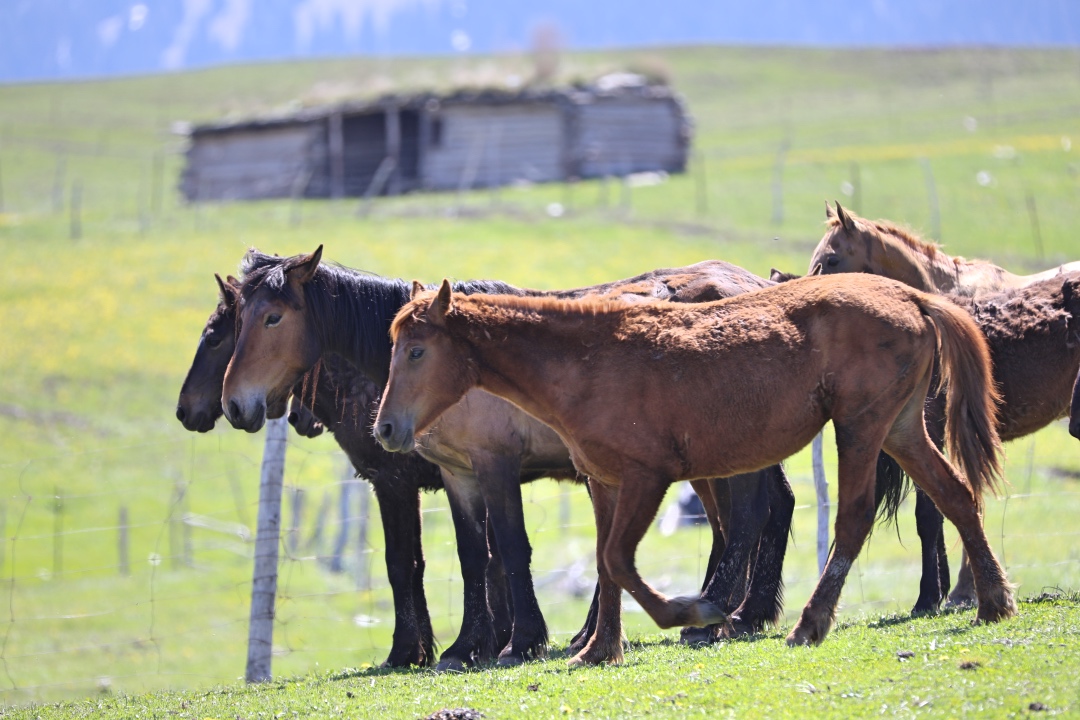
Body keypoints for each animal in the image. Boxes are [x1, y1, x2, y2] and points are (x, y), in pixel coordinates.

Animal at [225, 250, 803, 669]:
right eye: (235, 322)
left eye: (272, 317)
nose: (235, 404)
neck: (471, 365)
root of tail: (756, 284)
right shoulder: (458, 475)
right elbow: (473, 556)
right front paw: (466, 647)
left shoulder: (494, 464)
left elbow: (507, 547)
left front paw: (519, 641)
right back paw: (731, 612)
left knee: (751, 514)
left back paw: (727, 614)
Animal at [375, 274, 1015, 664]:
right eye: (393, 348)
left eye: (417, 351)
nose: (384, 429)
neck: (587, 361)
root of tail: (913, 298)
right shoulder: (605, 483)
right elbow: (606, 565)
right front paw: (599, 649)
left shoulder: (647, 477)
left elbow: (617, 561)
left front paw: (696, 609)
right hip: (902, 428)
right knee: (956, 495)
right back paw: (994, 601)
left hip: (860, 427)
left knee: (853, 519)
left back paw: (807, 623)